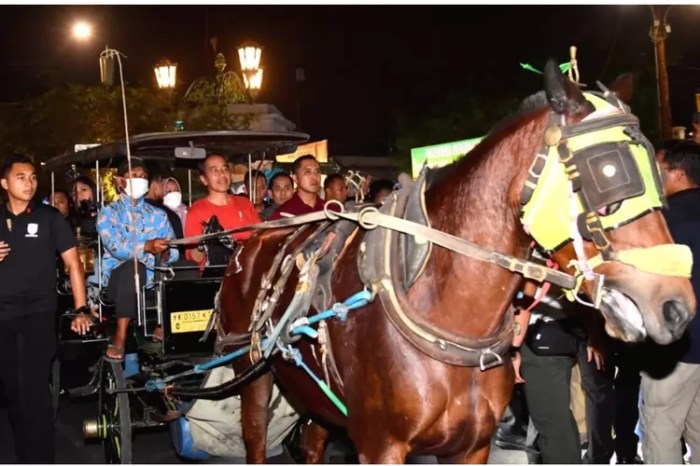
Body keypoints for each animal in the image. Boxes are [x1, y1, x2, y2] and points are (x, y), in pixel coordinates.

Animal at [216, 61, 696, 462]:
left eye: (656, 173)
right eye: (609, 172)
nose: (676, 307)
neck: (446, 311)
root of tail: (252, 240)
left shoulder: (472, 446)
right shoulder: (379, 445)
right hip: (252, 376)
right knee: (255, 435)